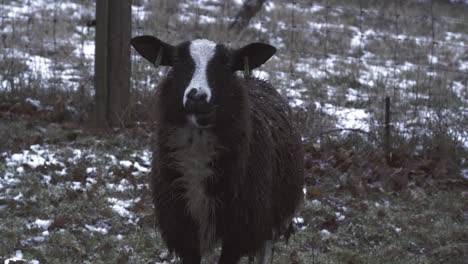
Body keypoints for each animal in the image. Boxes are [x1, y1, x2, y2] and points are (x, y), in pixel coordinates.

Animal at [131, 35, 304, 264]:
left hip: (271, 213)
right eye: (176, 61)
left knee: (264, 250)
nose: (197, 97)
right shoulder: (182, 226)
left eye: (227, 64)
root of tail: (258, 79)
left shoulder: (239, 230)